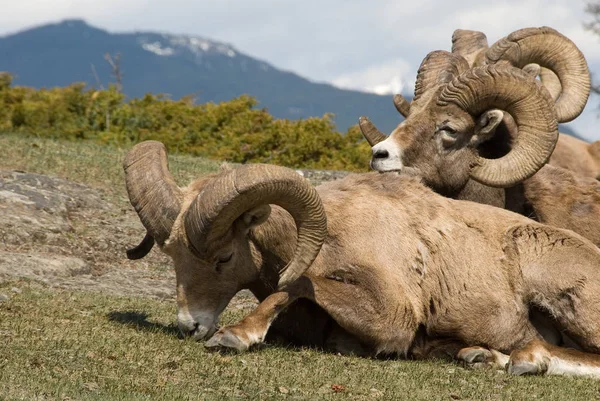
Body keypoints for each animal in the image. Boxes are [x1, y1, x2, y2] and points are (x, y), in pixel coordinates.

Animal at [126, 137, 600, 376]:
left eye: (223, 257)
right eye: (173, 256)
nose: (191, 326)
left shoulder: (391, 316)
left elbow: (300, 284)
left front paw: (235, 336)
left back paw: (527, 360)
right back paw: (480, 357)